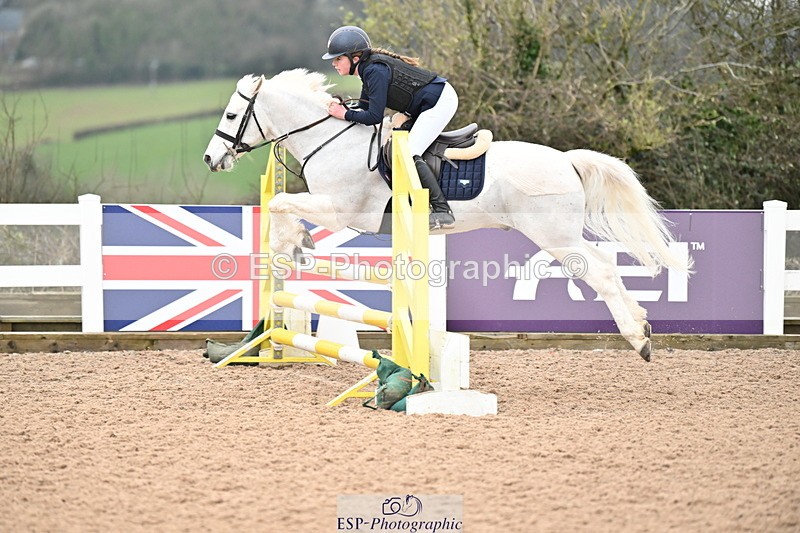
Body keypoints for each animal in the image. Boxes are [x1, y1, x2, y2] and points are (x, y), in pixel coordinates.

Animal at [203, 69, 692, 361]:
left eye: (230, 114)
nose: (210, 159)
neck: (332, 139)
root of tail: (567, 161)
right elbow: (283, 206)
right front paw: (296, 244)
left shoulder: (342, 212)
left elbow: (281, 205)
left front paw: (290, 243)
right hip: (562, 235)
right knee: (606, 264)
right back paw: (643, 326)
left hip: (555, 236)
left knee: (601, 271)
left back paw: (638, 338)